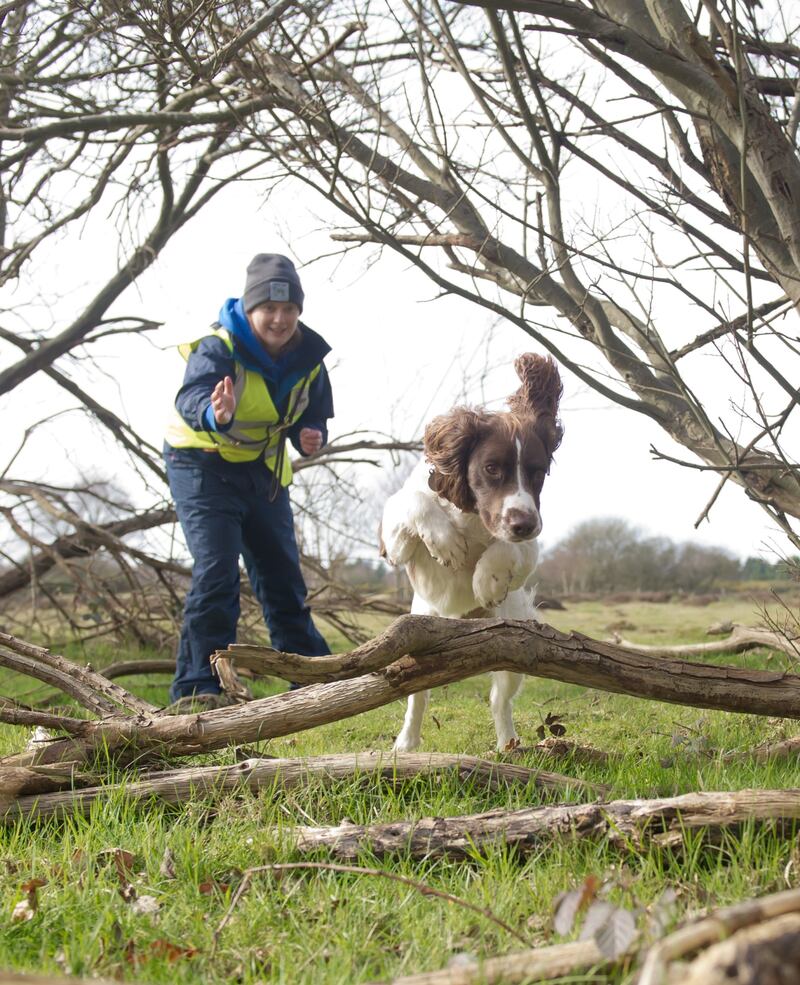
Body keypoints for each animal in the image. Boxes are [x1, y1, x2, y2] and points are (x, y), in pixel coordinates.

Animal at [382, 358, 564, 748]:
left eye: (538, 472)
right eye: (491, 468)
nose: (524, 523)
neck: (471, 514)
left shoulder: (531, 544)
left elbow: (509, 549)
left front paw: (486, 581)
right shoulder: (392, 545)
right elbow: (416, 501)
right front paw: (446, 542)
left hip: (512, 645)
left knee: (499, 700)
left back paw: (508, 743)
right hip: (416, 636)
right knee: (416, 695)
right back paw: (406, 742)